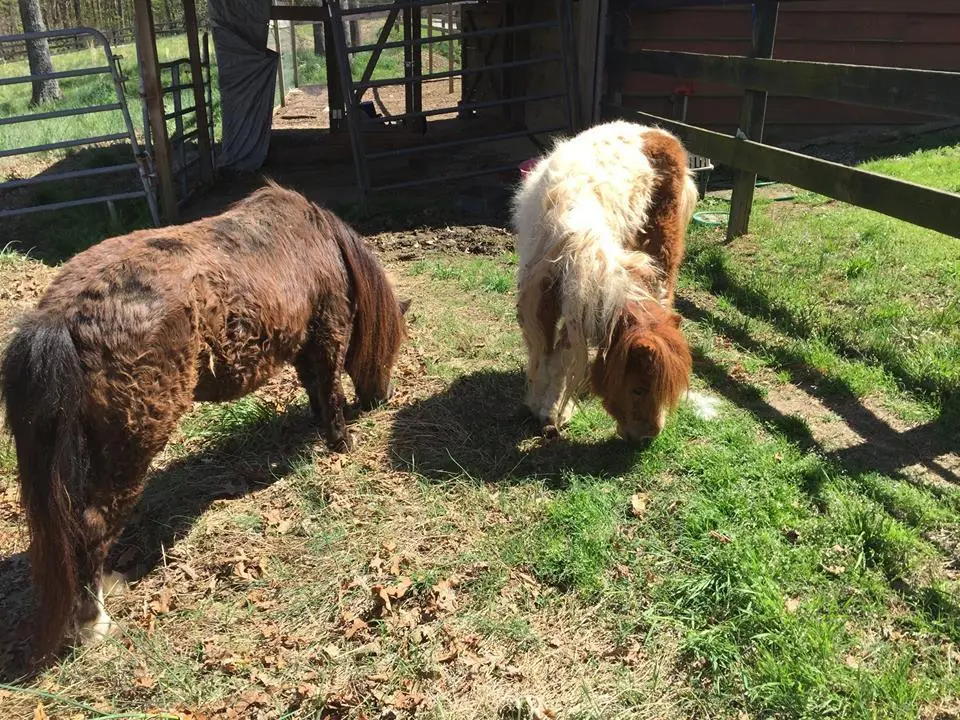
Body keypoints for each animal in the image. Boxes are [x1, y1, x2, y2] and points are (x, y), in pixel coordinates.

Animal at [0, 180, 408, 660]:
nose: (384, 397)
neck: (321, 240)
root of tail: (61, 315)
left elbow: (315, 391)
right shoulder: (327, 333)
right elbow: (328, 388)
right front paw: (341, 441)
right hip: (129, 446)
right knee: (93, 526)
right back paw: (94, 621)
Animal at [510, 121, 696, 442]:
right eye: (639, 388)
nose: (648, 437)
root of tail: (657, 131)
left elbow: (561, 354)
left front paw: (551, 410)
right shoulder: (542, 301)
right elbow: (547, 353)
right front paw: (545, 409)